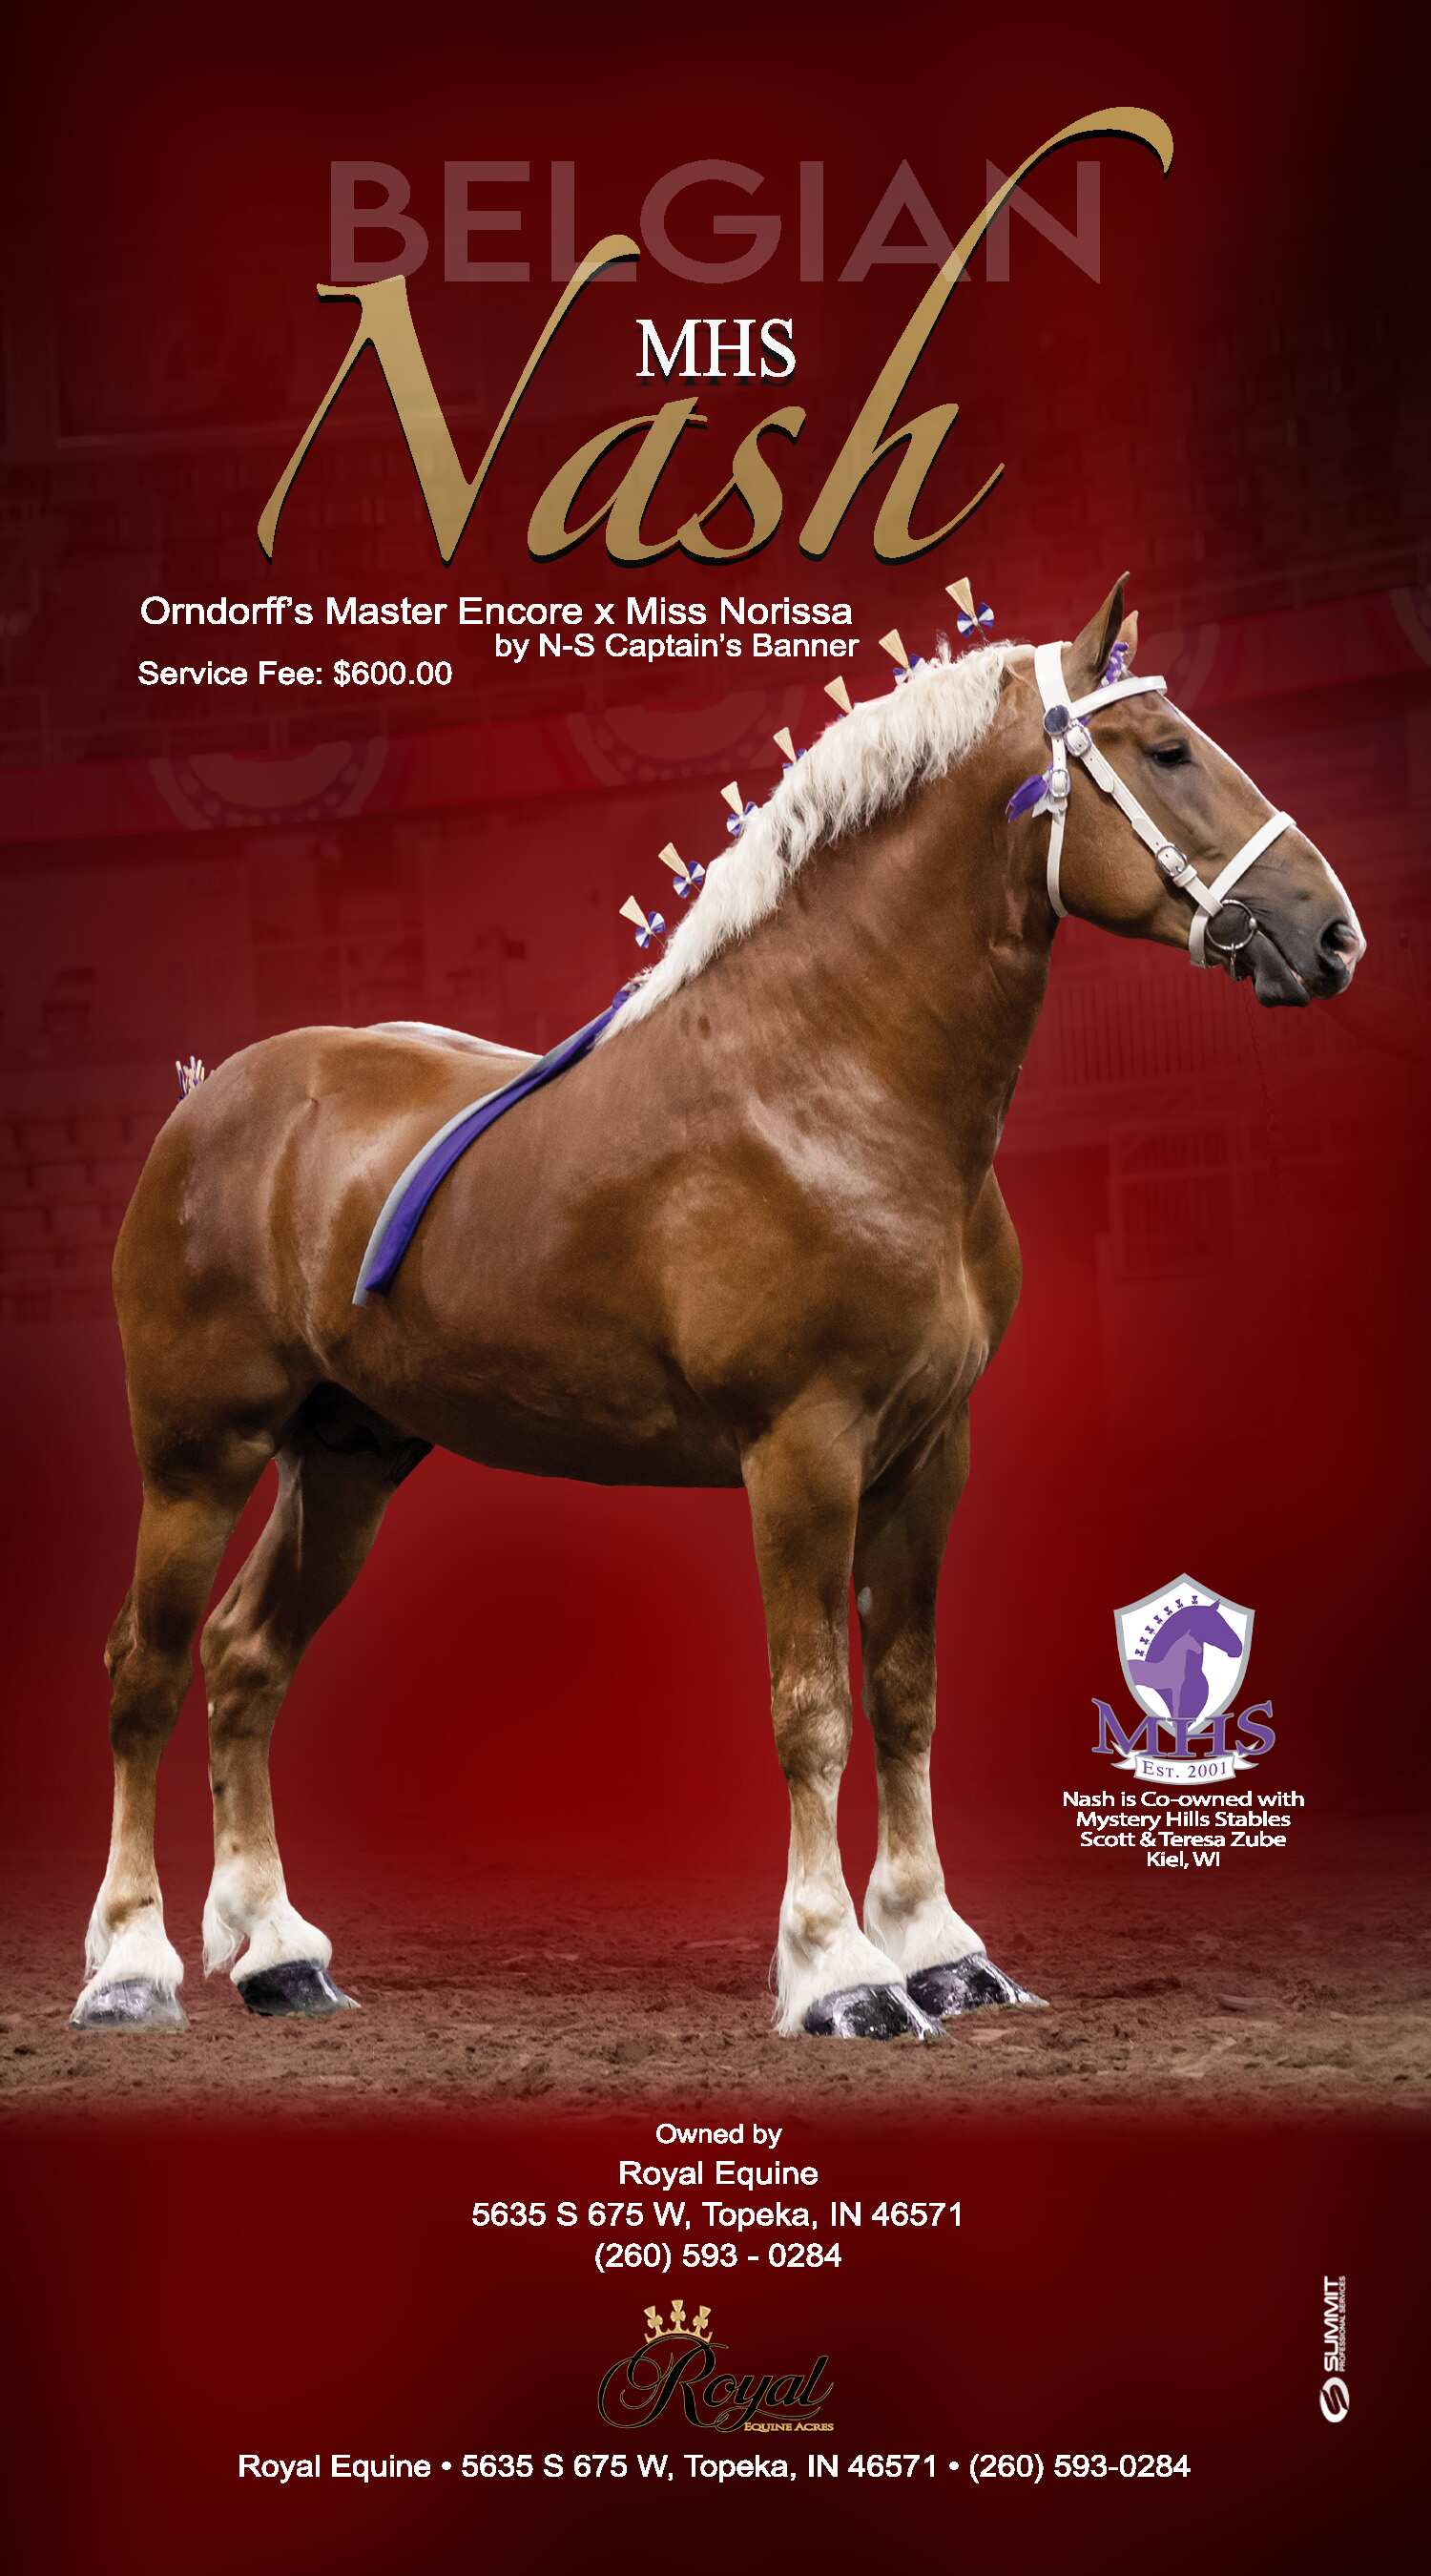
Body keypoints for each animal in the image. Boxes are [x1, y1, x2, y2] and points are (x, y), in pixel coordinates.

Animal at [72, 577, 1363, 2044]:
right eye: (1166, 752)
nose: (1331, 934)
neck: (830, 1085)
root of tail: (210, 1097)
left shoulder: (929, 1455)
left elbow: (906, 1696)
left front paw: (941, 1949)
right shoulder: (800, 1451)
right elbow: (811, 1707)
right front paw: (841, 1971)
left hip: (346, 1460)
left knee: (246, 1662)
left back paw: (277, 1954)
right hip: (197, 1456)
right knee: (145, 1672)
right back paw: (131, 1966)